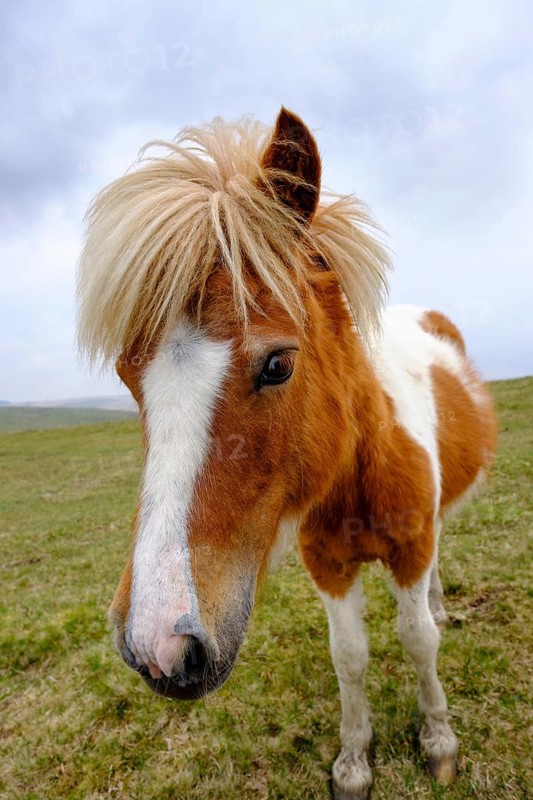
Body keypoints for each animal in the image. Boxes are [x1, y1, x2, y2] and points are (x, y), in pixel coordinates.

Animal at [77, 107, 496, 799]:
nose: (160, 645)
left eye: (278, 363)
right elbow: (349, 658)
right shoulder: (329, 567)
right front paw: (354, 760)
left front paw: (438, 739)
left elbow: (418, 640)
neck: (357, 470)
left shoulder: (411, 548)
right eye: (126, 375)